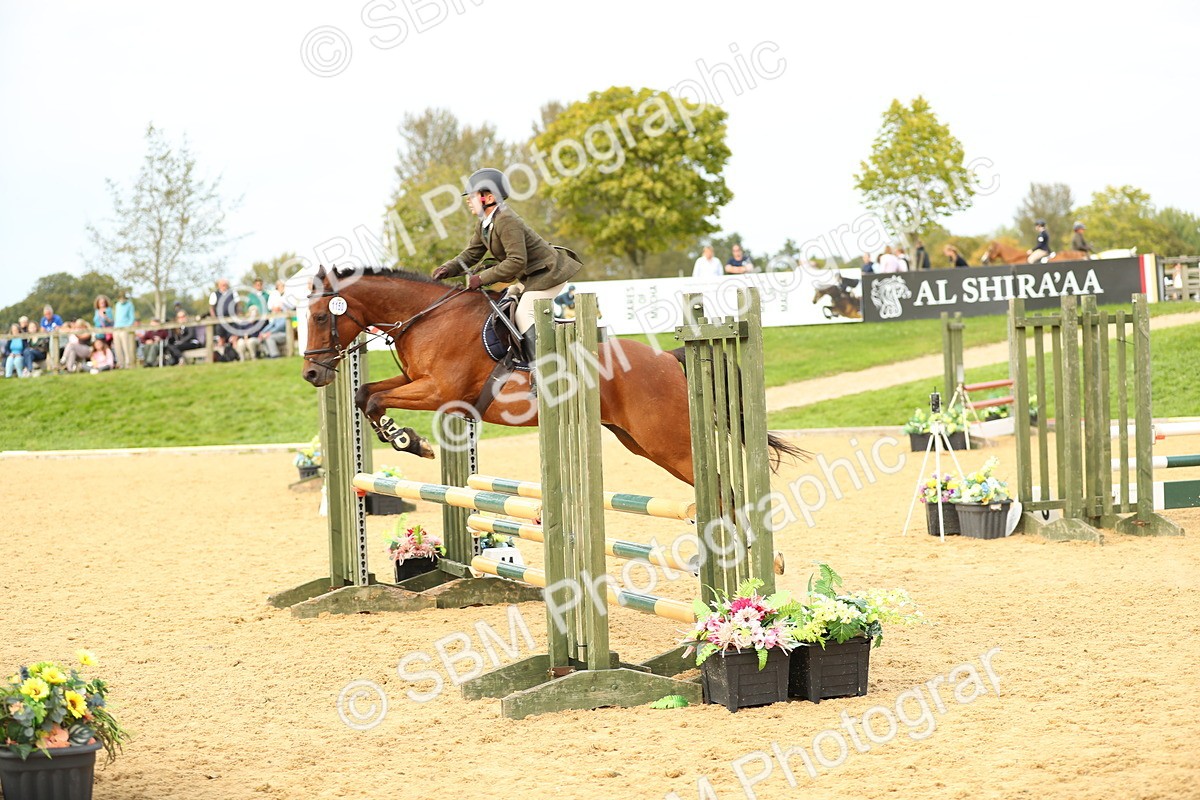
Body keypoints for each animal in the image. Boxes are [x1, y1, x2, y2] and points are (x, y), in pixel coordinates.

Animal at [301, 266, 804, 486]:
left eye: (322, 316)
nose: (310, 373)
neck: (426, 317)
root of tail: (665, 359)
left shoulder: (440, 391)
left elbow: (373, 399)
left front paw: (409, 441)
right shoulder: (417, 384)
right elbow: (366, 394)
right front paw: (407, 439)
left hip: (669, 442)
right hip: (640, 443)